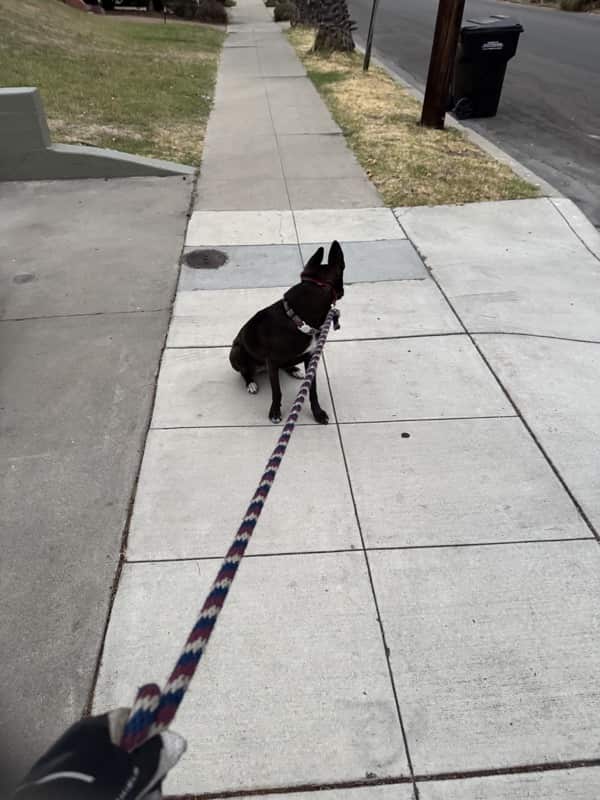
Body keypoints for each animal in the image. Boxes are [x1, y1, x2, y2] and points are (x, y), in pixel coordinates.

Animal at [227, 239, 344, 422]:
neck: (297, 319)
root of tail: (261, 369)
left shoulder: (310, 358)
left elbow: (312, 391)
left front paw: (317, 413)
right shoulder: (272, 362)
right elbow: (277, 392)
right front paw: (275, 412)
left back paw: (294, 370)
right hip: (236, 352)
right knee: (245, 372)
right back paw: (250, 383)